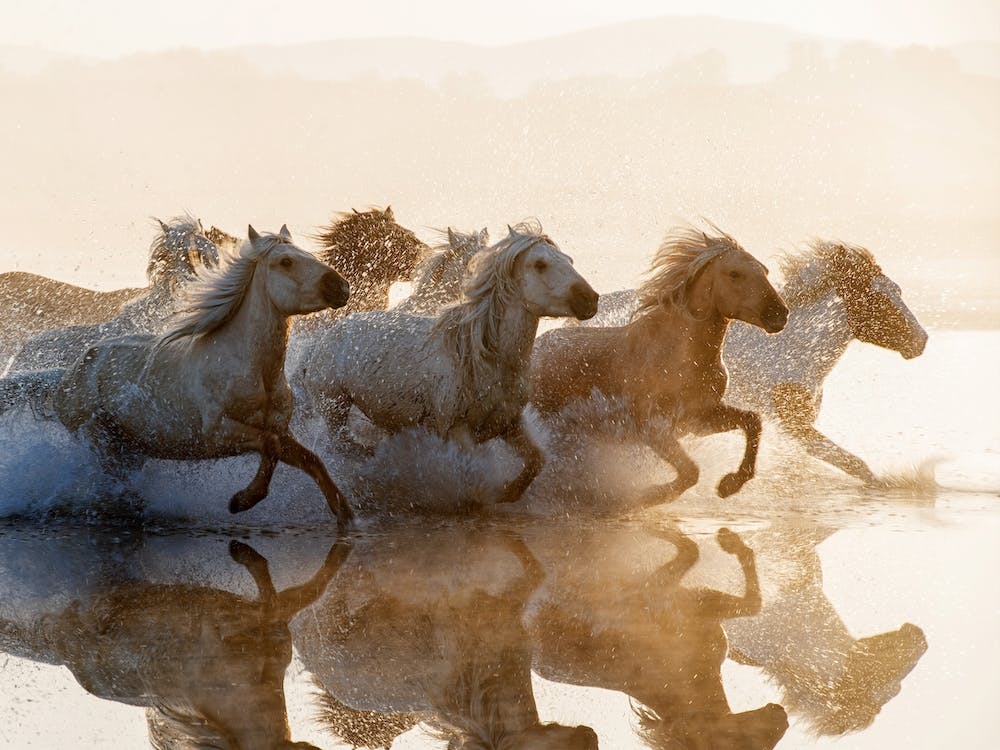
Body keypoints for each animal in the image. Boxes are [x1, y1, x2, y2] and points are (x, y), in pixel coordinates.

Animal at [45, 225, 353, 523]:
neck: (254, 372)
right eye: (286, 261)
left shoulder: (281, 430)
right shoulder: (214, 435)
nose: (341, 286)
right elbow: (269, 444)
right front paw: (241, 501)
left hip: (130, 447)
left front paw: (345, 514)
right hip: (99, 440)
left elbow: (308, 459)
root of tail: (70, 374)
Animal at [294, 221, 599, 505]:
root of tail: (327, 336)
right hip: (334, 406)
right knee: (342, 446)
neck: (482, 358)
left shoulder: (509, 423)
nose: (590, 299)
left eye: (569, 260)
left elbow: (536, 460)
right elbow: (477, 476)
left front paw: (507, 493)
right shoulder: (458, 430)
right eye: (540, 264)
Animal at [530, 226, 787, 504]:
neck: (684, 358)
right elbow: (691, 472)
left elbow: (752, 421)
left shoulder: (698, 419)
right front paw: (649, 494)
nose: (779, 313)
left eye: (765, 271)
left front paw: (730, 484)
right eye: (734, 273)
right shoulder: (653, 429)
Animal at [565, 240, 927, 484]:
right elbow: (855, 465)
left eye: (897, 290)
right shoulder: (796, 426)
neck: (794, 353)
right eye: (878, 299)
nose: (921, 340)